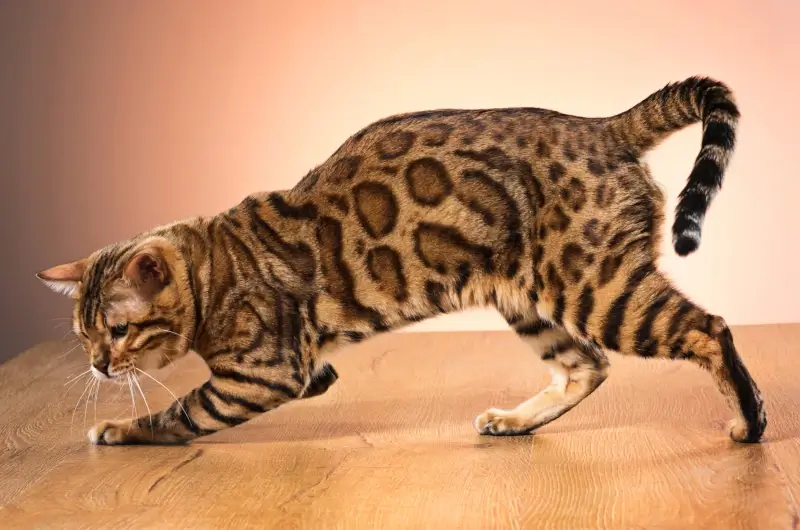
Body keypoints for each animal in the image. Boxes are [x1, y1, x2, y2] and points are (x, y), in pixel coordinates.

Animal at [37, 76, 768, 444]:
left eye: (120, 331)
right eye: (83, 334)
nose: (99, 366)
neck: (213, 267)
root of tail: (599, 125)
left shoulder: (265, 374)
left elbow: (180, 413)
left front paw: (120, 427)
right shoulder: (310, 371)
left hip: (598, 288)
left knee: (708, 329)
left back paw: (750, 422)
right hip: (530, 301)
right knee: (587, 367)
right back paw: (513, 421)